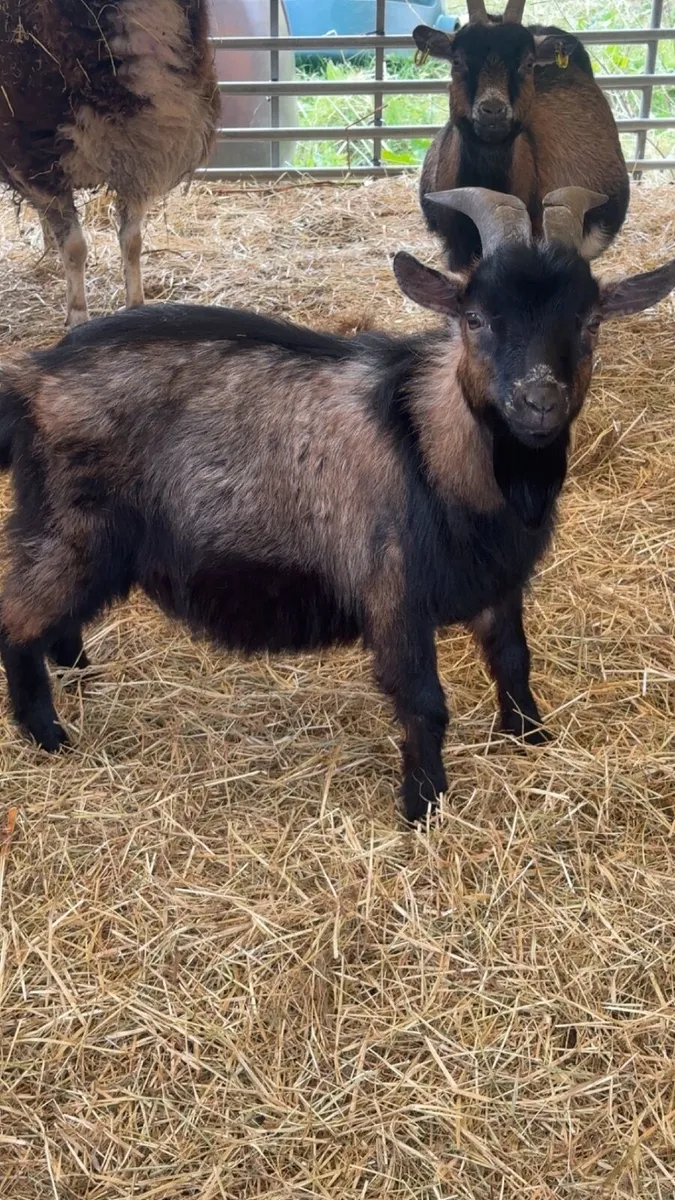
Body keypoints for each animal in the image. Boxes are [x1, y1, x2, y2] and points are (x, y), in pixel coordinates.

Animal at [0, 1, 218, 327]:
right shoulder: (37, 163)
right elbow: (75, 247)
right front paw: (78, 315)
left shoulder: (138, 163)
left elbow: (133, 242)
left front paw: (136, 305)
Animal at [0, 187, 673, 823]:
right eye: (476, 318)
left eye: (590, 321)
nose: (540, 400)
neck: (431, 446)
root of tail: (34, 377)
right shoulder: (394, 592)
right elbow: (424, 700)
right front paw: (424, 803)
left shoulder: (498, 580)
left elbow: (513, 659)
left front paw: (530, 737)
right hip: (71, 527)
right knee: (17, 620)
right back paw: (49, 735)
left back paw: (78, 673)